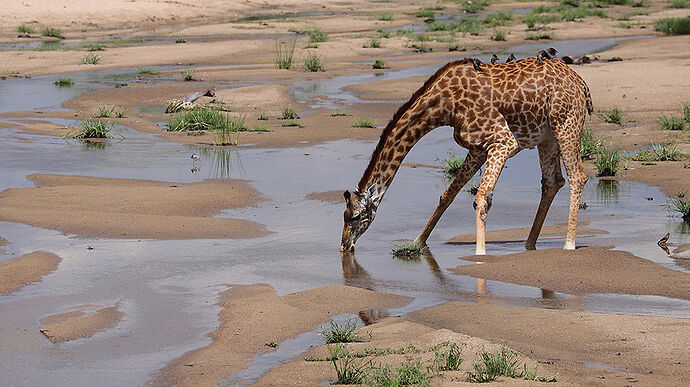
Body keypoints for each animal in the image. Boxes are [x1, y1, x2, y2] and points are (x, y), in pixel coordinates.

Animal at [340, 54, 592, 255]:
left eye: (354, 217)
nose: (344, 246)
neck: (444, 106)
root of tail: (581, 83)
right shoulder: (478, 148)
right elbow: (448, 195)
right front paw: (418, 241)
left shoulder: (502, 140)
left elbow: (481, 198)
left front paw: (480, 254)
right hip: (547, 137)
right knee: (552, 181)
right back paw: (530, 243)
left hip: (567, 125)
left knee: (578, 176)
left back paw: (569, 244)